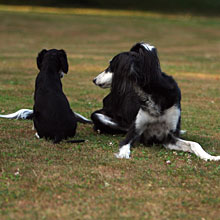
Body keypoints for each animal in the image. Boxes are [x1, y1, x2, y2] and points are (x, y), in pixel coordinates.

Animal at [92, 42, 220, 161]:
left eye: (111, 66)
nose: (94, 80)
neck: (153, 92)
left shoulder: (168, 138)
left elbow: (194, 144)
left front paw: (210, 157)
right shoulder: (134, 132)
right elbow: (124, 145)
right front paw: (123, 155)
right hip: (98, 116)